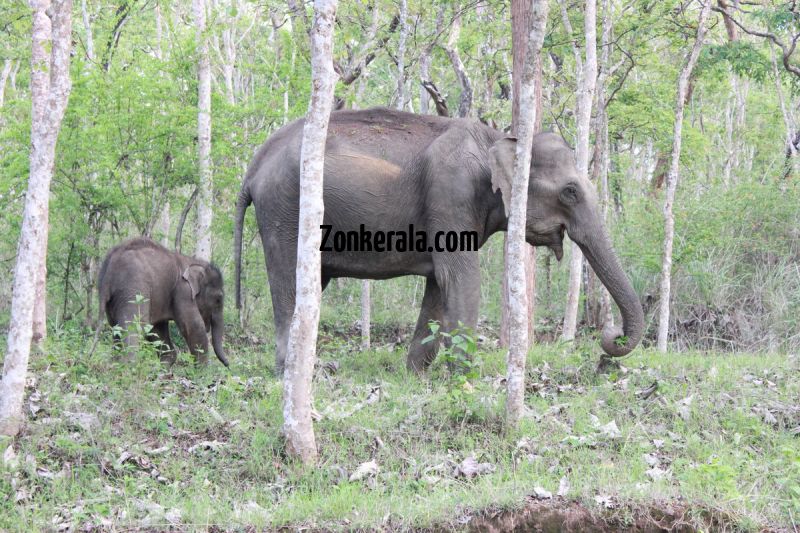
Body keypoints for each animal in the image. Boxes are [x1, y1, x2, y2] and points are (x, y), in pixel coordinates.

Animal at [97, 237, 228, 366]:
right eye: (218, 299)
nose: (228, 364)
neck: (192, 262)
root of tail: (110, 267)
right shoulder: (183, 291)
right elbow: (193, 326)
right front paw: (201, 370)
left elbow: (157, 329)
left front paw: (162, 366)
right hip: (133, 289)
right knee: (135, 326)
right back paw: (127, 365)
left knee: (116, 327)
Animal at [233, 107, 644, 374]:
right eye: (571, 191)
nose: (611, 340)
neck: (500, 139)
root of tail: (253, 167)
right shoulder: (452, 191)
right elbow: (461, 278)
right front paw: (466, 377)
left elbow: (437, 284)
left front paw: (415, 374)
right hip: (285, 210)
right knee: (288, 282)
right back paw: (293, 373)